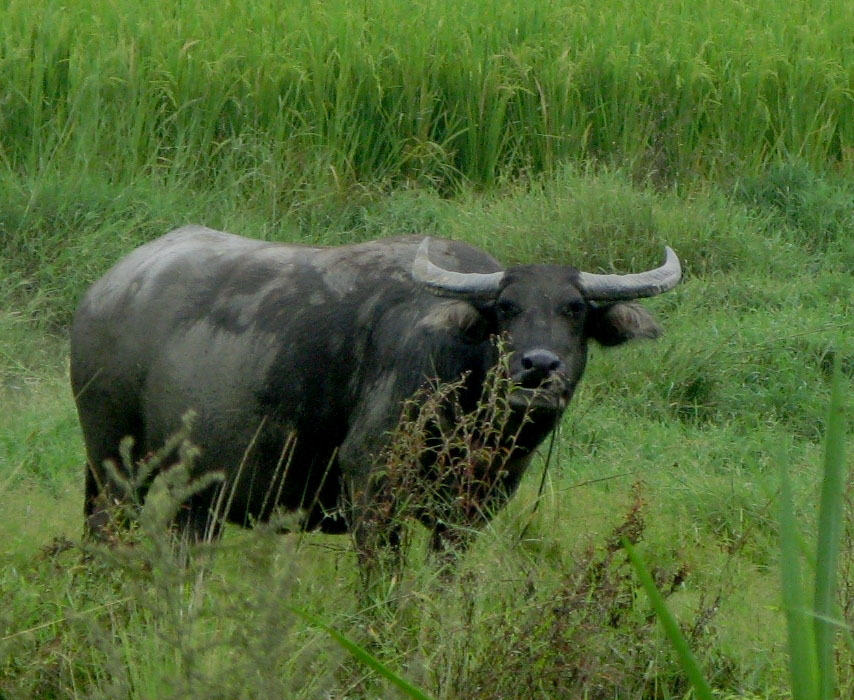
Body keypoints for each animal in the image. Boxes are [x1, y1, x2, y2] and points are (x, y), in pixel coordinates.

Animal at [70, 227, 684, 568]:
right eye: (506, 309)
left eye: (575, 310)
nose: (539, 367)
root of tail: (106, 290)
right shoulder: (372, 494)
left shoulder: (468, 515)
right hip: (112, 466)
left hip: (196, 497)